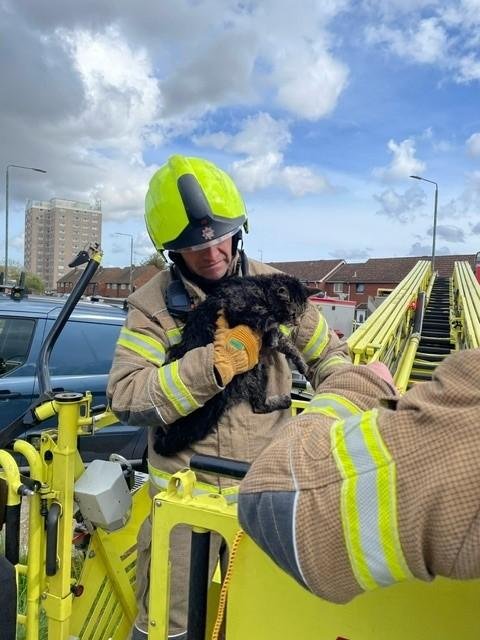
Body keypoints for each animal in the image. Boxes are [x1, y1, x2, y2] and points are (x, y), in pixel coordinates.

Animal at [156, 272, 310, 458]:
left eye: (302, 313)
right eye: (294, 314)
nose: (297, 322)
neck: (261, 289)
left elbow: (287, 344)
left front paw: (301, 363)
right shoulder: (237, 307)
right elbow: (267, 320)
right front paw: (273, 328)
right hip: (257, 370)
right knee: (259, 406)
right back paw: (283, 401)